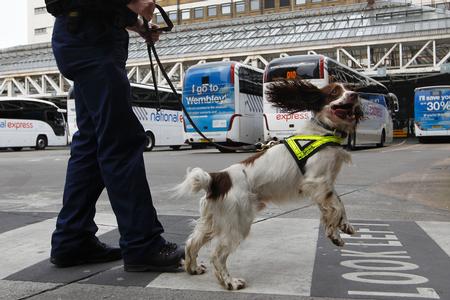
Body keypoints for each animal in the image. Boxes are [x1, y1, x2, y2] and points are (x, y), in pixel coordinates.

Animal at [174, 78, 364, 290]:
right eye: (334, 92)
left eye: (349, 88)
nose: (355, 94)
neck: (323, 131)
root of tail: (218, 178)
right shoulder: (317, 182)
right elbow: (336, 207)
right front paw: (335, 232)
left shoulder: (324, 186)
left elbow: (338, 205)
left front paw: (341, 228)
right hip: (238, 222)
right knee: (217, 255)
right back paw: (230, 282)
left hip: (211, 221)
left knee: (192, 242)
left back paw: (193, 268)